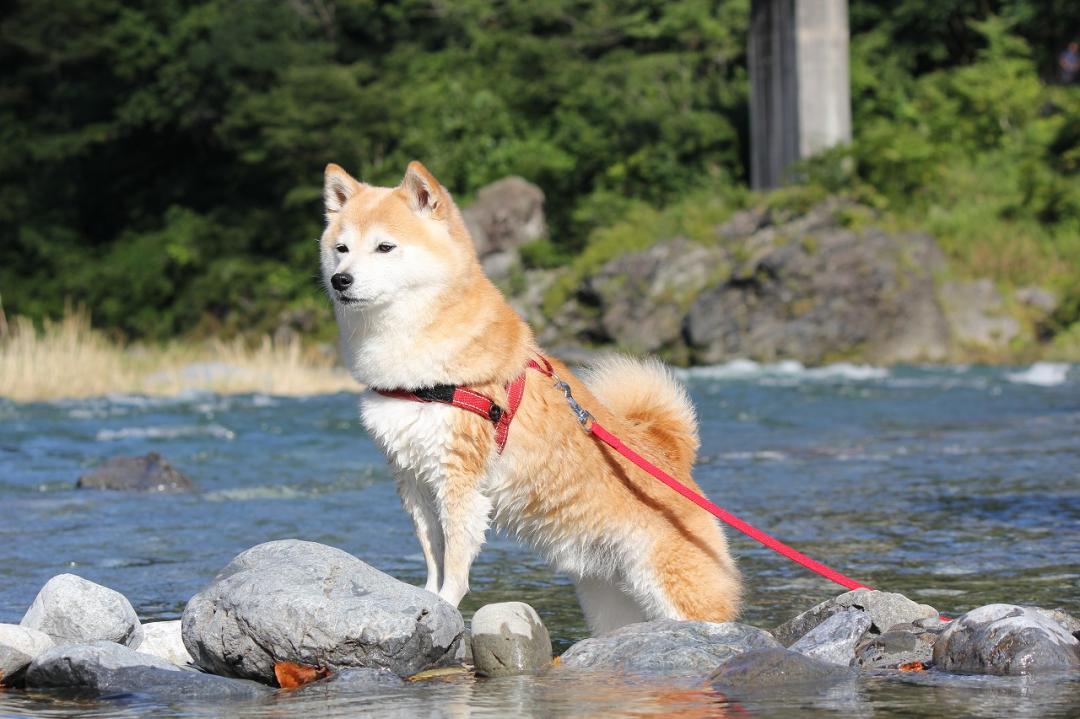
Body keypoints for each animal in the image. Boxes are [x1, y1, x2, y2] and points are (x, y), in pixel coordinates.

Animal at [319, 159, 743, 630]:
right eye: (341, 248)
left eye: (385, 247)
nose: (341, 280)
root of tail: (675, 459)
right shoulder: (412, 476)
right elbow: (432, 551)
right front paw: (424, 598)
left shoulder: (459, 477)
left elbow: (456, 561)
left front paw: (446, 603)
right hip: (610, 601)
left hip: (677, 588)